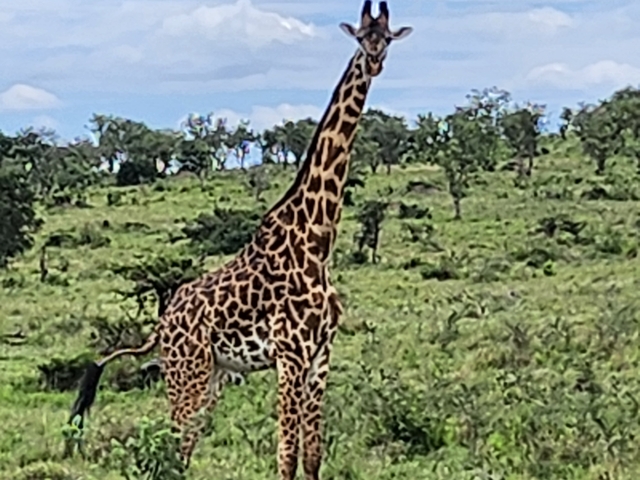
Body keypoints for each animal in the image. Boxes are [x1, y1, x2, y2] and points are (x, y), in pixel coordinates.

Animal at [68, 2, 412, 478]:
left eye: (388, 38)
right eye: (362, 38)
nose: (376, 60)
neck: (317, 241)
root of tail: (161, 325)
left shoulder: (321, 356)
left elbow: (312, 456)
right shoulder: (290, 355)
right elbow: (286, 456)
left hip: (212, 374)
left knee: (184, 446)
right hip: (187, 370)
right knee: (172, 441)